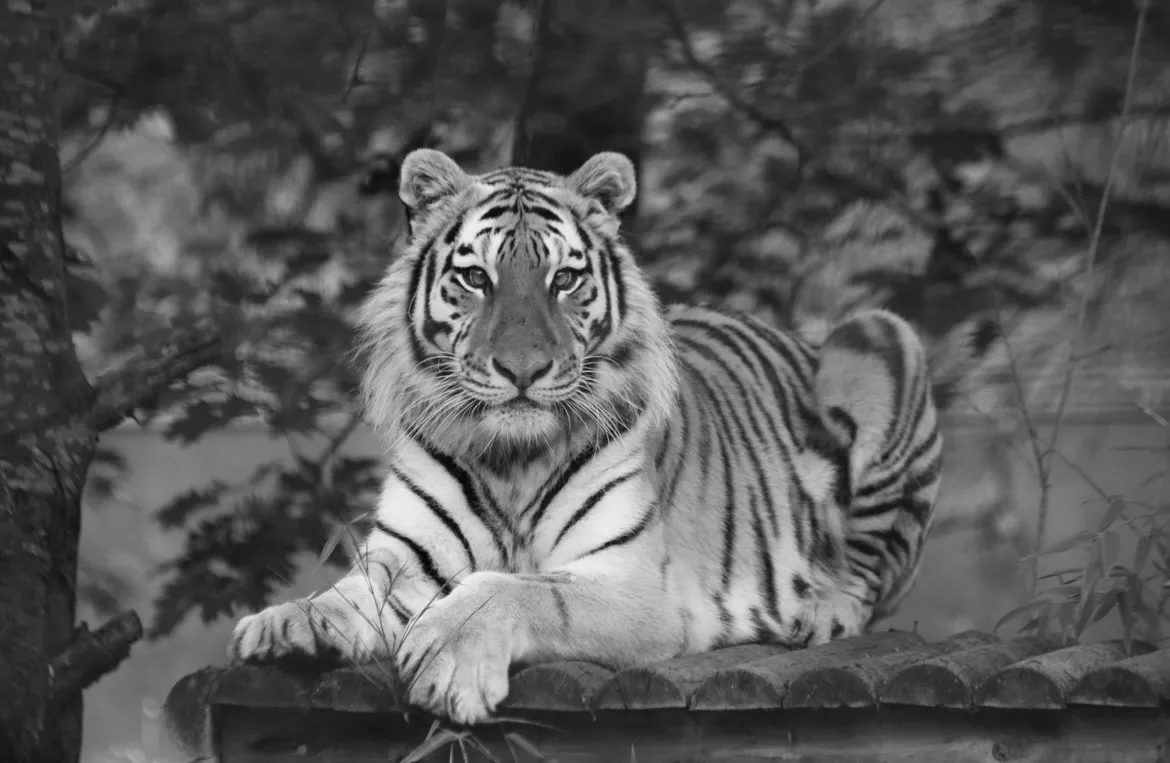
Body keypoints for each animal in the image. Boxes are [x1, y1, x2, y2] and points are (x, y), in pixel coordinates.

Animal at [228, 148, 945, 725]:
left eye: (564, 279)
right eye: (476, 277)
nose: (521, 369)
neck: (510, 460)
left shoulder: (635, 583)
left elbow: (515, 588)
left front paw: (447, 656)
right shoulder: (407, 555)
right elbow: (350, 591)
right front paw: (288, 622)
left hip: (881, 337)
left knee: (867, 580)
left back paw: (816, 610)